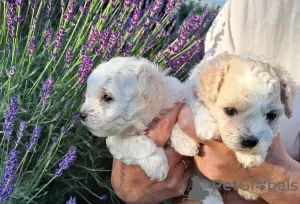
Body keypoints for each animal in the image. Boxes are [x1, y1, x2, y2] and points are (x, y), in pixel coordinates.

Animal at [170, 53, 296, 201]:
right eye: (229, 110)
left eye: (271, 115)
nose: (249, 142)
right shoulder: (190, 90)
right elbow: (194, 104)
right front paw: (203, 128)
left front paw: (251, 156)